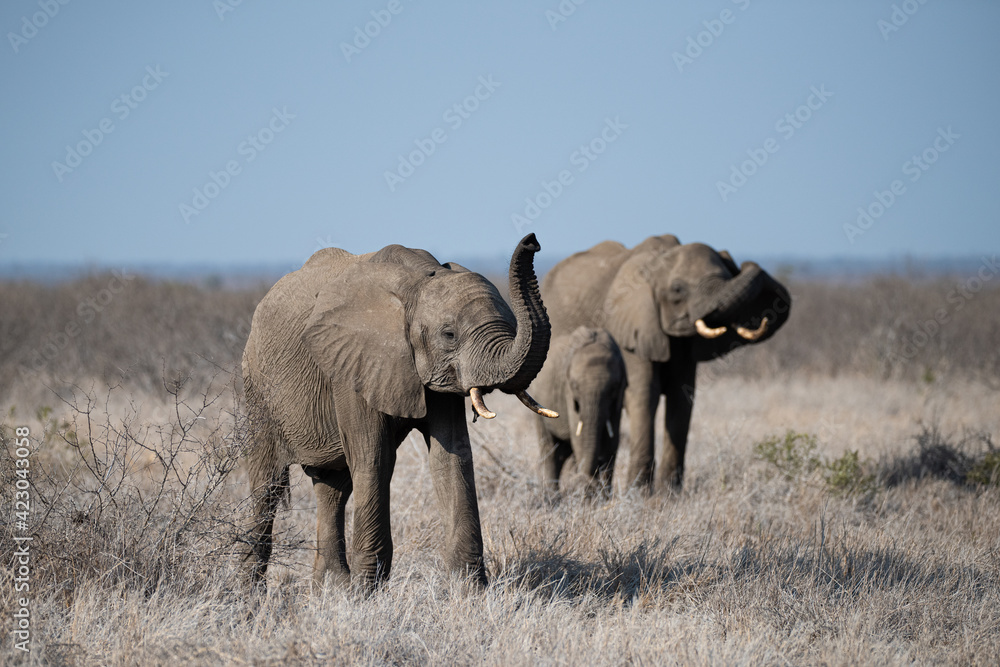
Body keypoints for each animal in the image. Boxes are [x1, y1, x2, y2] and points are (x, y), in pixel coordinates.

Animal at [241, 233, 557, 591]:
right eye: (449, 334)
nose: (532, 241)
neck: (417, 282)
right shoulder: (352, 366)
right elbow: (374, 459)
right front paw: (364, 595)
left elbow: (452, 456)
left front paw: (470, 591)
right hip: (258, 388)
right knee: (266, 486)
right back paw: (251, 594)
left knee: (332, 487)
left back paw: (330, 588)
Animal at [529, 326, 627, 497]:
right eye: (575, 386)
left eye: (613, 388)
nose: (588, 481)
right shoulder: (567, 392)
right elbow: (579, 438)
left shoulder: (619, 396)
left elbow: (612, 440)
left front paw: (602, 496)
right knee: (550, 449)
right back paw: (552, 497)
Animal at [541, 235, 791, 492]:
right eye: (677, 289)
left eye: (727, 276)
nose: (748, 264)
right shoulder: (632, 328)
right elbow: (644, 395)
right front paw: (638, 494)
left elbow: (682, 397)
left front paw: (668, 495)